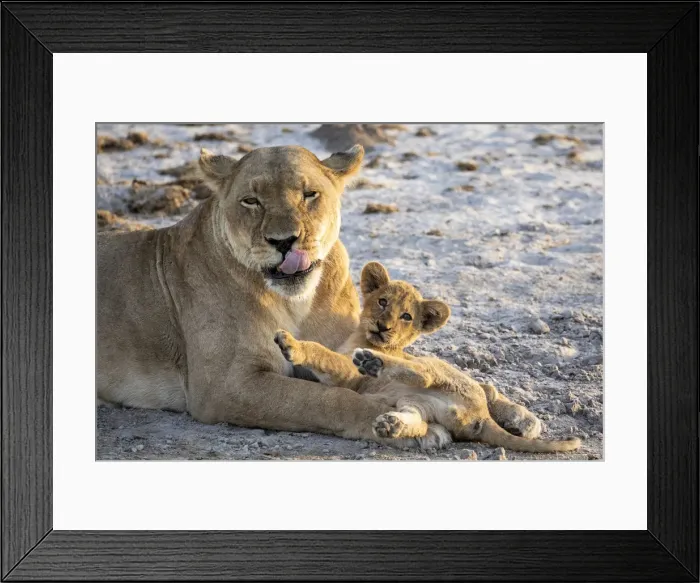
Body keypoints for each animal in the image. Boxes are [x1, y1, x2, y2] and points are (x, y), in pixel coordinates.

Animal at [97, 143, 450, 447]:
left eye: (309, 194)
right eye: (251, 201)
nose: (284, 241)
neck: (296, 303)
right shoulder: (224, 385)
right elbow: (321, 399)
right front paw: (412, 425)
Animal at [274, 262, 581, 453]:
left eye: (407, 316)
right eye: (382, 301)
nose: (383, 326)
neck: (364, 339)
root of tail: (482, 417)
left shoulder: (349, 374)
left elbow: (322, 353)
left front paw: (292, 345)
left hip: (434, 366)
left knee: (423, 374)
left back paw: (374, 363)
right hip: (418, 404)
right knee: (417, 417)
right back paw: (391, 424)